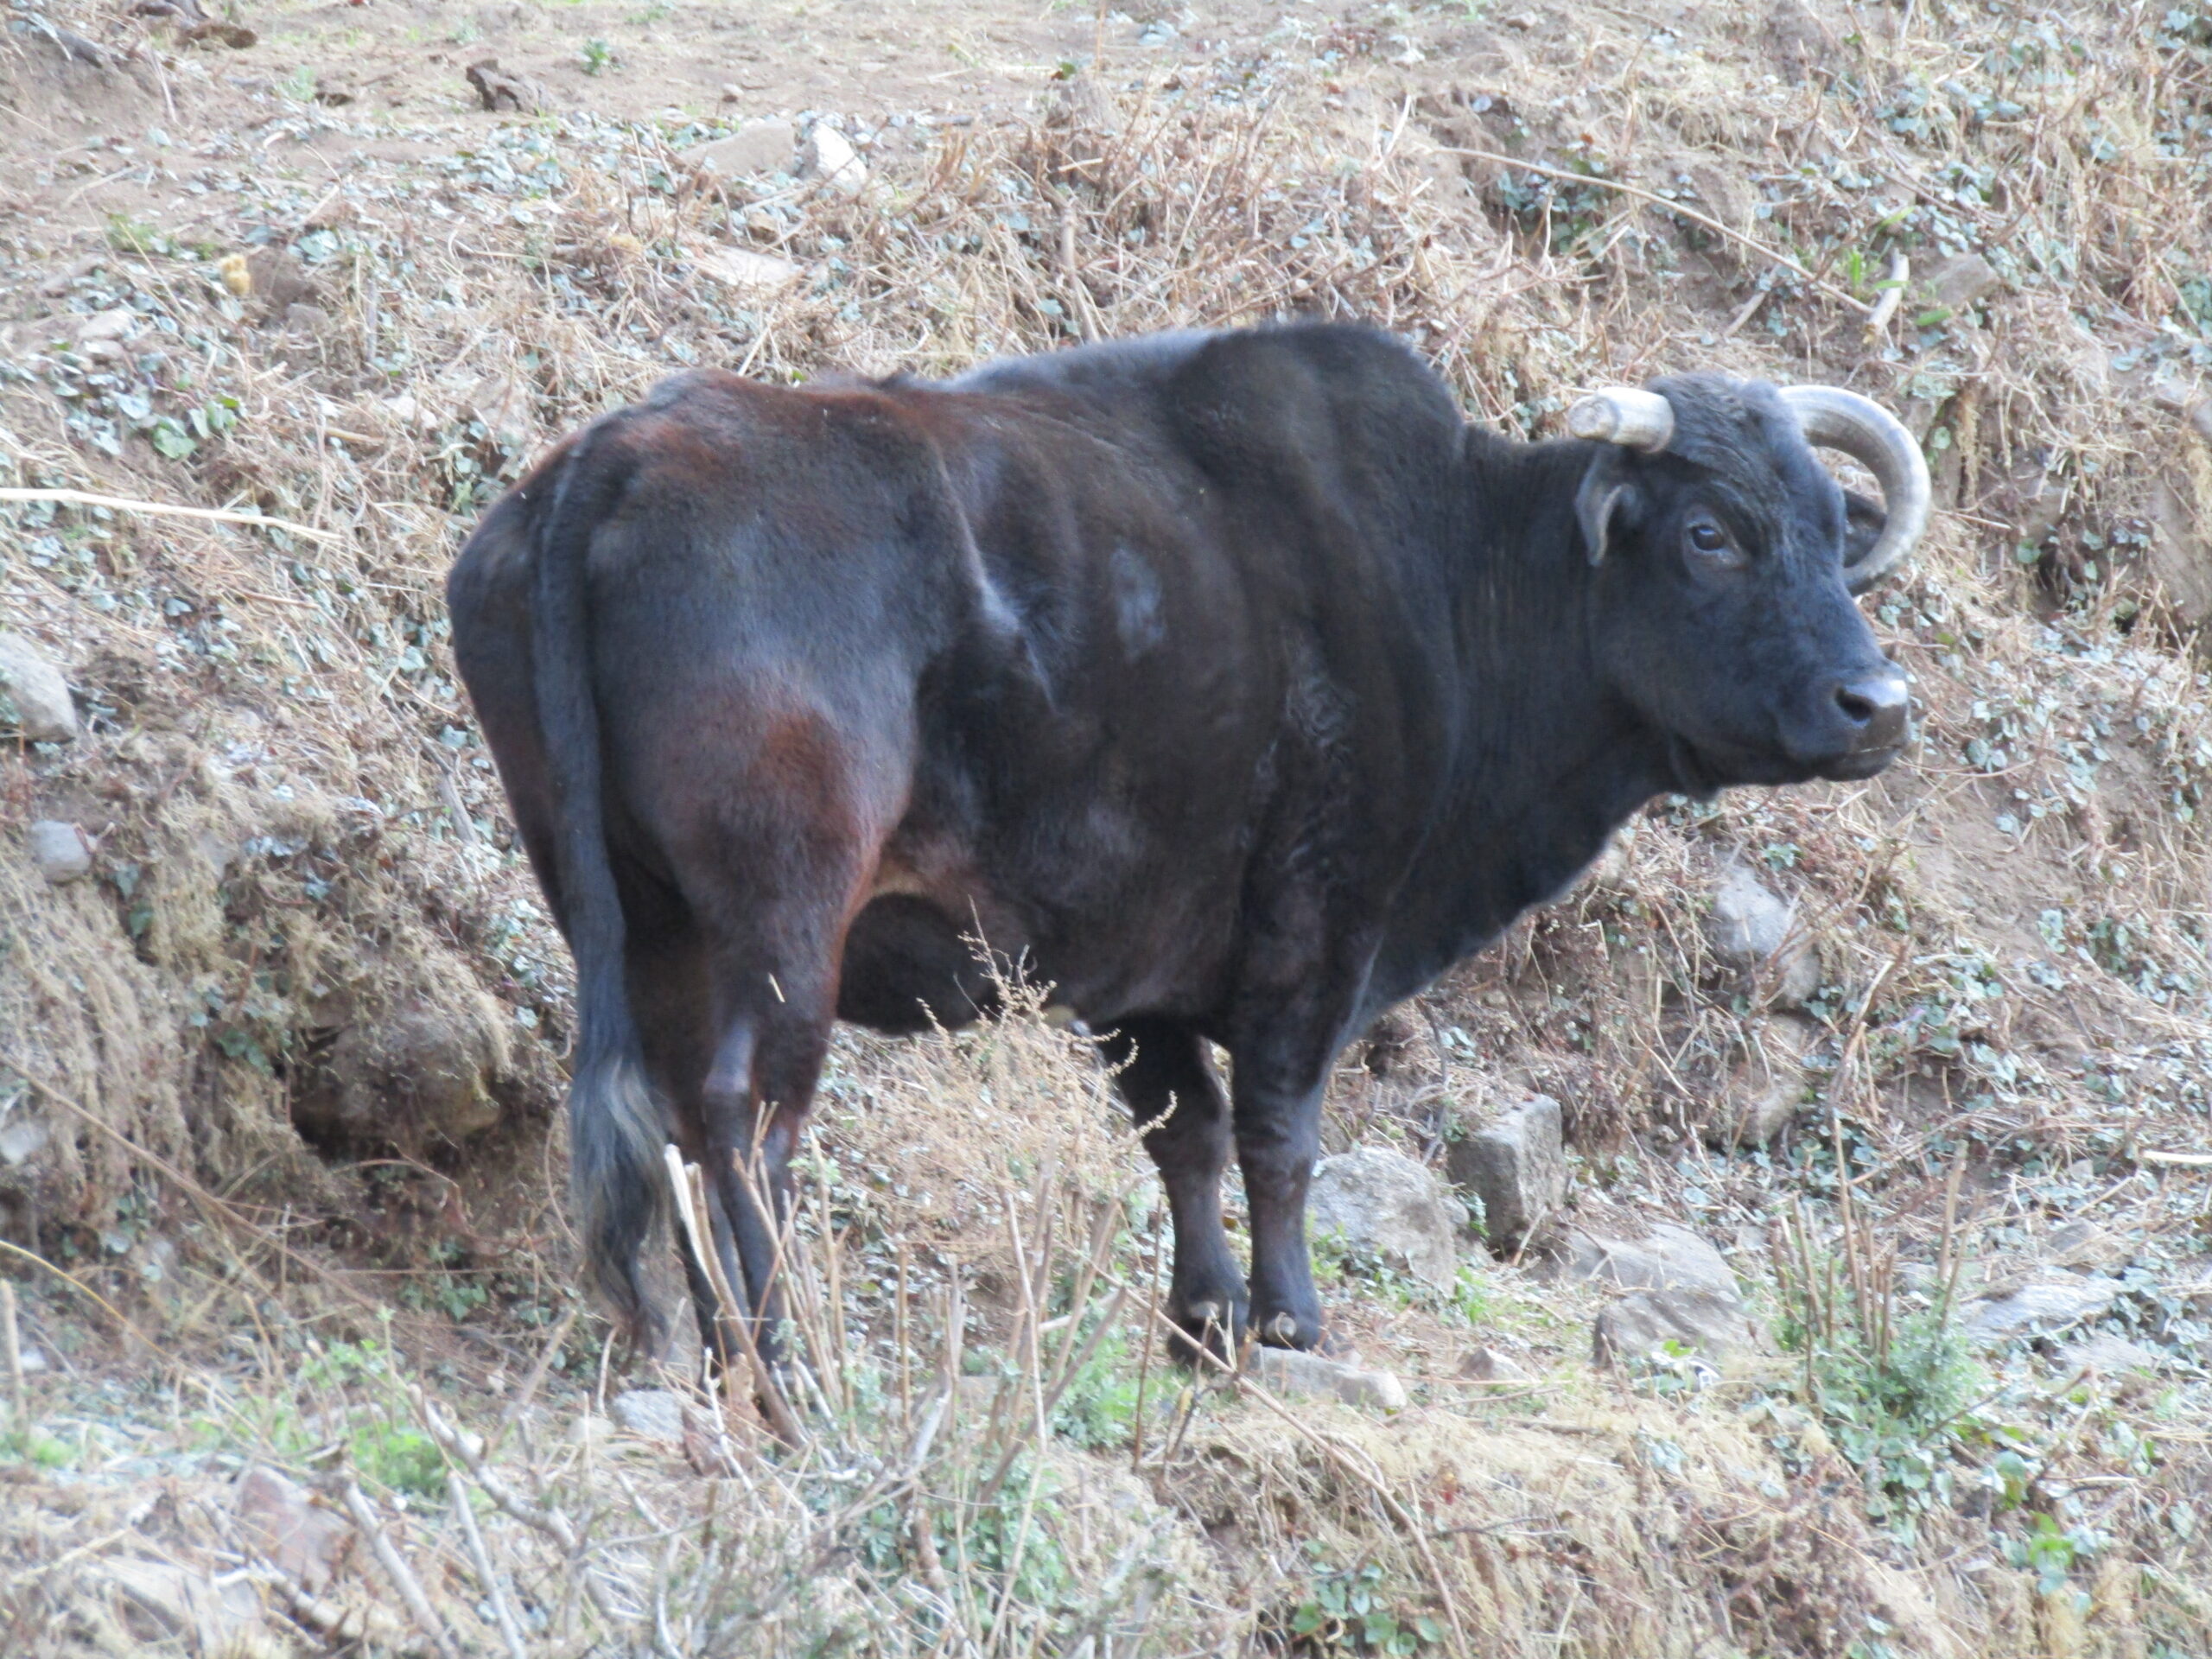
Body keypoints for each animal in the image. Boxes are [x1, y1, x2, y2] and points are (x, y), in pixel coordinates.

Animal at [448, 325, 1920, 1362]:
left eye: (1831, 529)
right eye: (1711, 532)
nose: (1879, 706)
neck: (1451, 574)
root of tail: (622, 456)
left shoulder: (1133, 969)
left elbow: (1186, 1135)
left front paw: (1202, 1321)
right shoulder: (1315, 932)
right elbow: (1277, 1131)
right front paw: (1288, 1319)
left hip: (636, 920)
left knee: (666, 1121)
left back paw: (704, 1345)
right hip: (781, 924)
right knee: (745, 1122)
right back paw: (782, 1356)